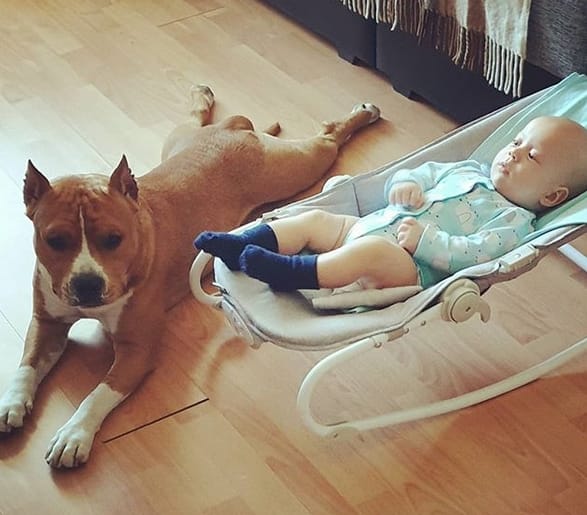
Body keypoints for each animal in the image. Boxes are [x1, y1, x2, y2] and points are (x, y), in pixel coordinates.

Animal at [0, 84, 380, 468]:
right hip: (178, 140)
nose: (87, 284)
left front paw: (74, 434)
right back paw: (202, 96)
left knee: (328, 136)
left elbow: (99, 393)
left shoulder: (137, 350)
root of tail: (231, 129)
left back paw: (364, 113)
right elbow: (27, 365)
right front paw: (11, 403)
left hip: (297, 165)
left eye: (113, 239)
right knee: (196, 119)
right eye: (54, 240)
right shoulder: (46, 322)